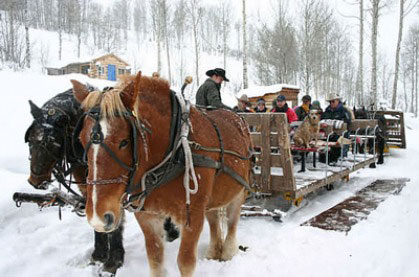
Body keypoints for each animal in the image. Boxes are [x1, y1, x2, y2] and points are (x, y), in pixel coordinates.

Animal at [71, 71, 253, 276]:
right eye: (80, 139)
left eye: (124, 142)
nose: (98, 218)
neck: (175, 149)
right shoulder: (148, 217)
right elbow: (155, 260)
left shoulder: (193, 216)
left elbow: (186, 262)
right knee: (214, 218)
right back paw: (214, 251)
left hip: (239, 190)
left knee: (232, 219)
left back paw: (228, 251)